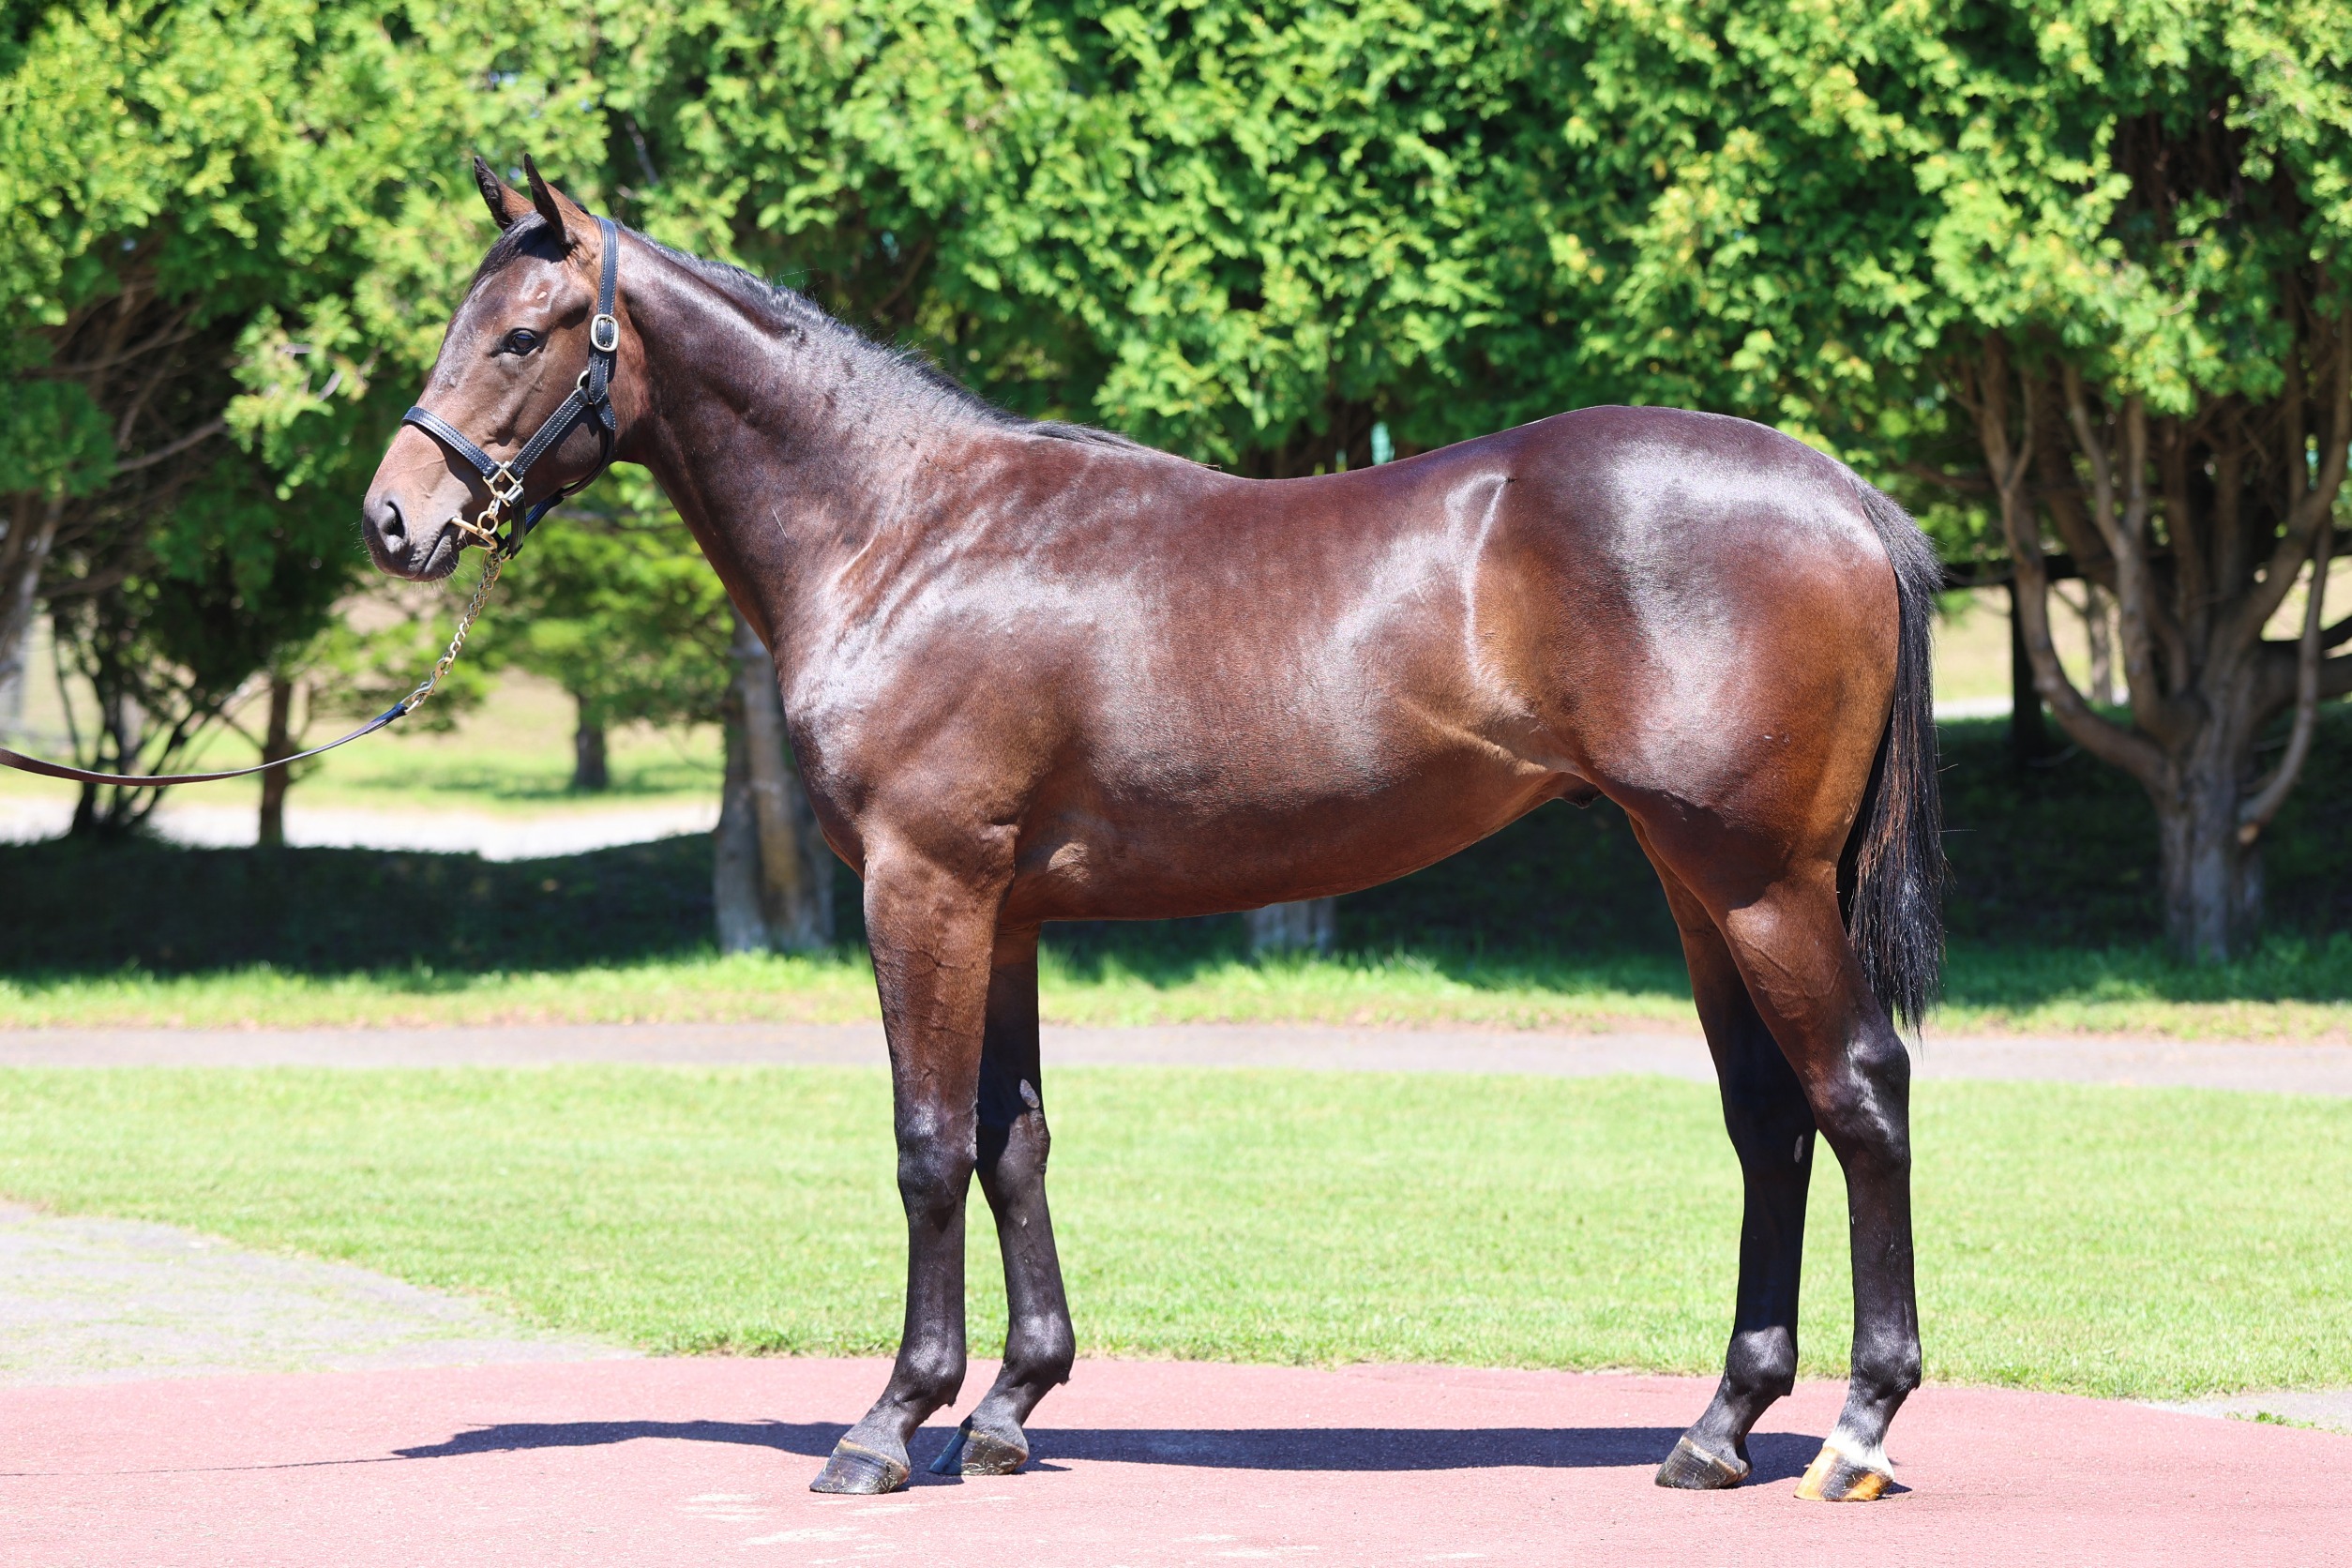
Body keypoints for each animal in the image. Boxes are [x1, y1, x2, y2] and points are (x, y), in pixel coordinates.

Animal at [363, 160, 1944, 1505]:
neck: (905, 533)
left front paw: (890, 1423)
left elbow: (928, 1145)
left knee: (1860, 1093)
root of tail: (1842, 497)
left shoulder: (922, 891)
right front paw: (1008, 1407)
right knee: (1768, 1122)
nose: (394, 518)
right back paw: (1719, 1428)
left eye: (520, 336)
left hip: (1761, 885)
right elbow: (1014, 1143)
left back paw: (1858, 1426)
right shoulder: (1002, 914)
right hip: (1696, 886)